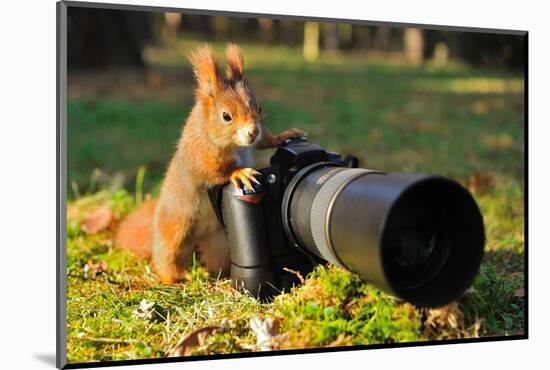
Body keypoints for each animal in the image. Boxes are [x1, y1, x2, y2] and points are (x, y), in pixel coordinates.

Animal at [116, 44, 306, 284]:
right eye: (226, 116)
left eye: (260, 109)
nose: (253, 131)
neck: (234, 145)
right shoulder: (202, 152)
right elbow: (213, 171)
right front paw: (239, 173)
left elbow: (265, 140)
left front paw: (283, 136)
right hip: (176, 230)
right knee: (167, 258)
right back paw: (178, 278)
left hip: (219, 242)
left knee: (217, 259)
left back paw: (219, 275)